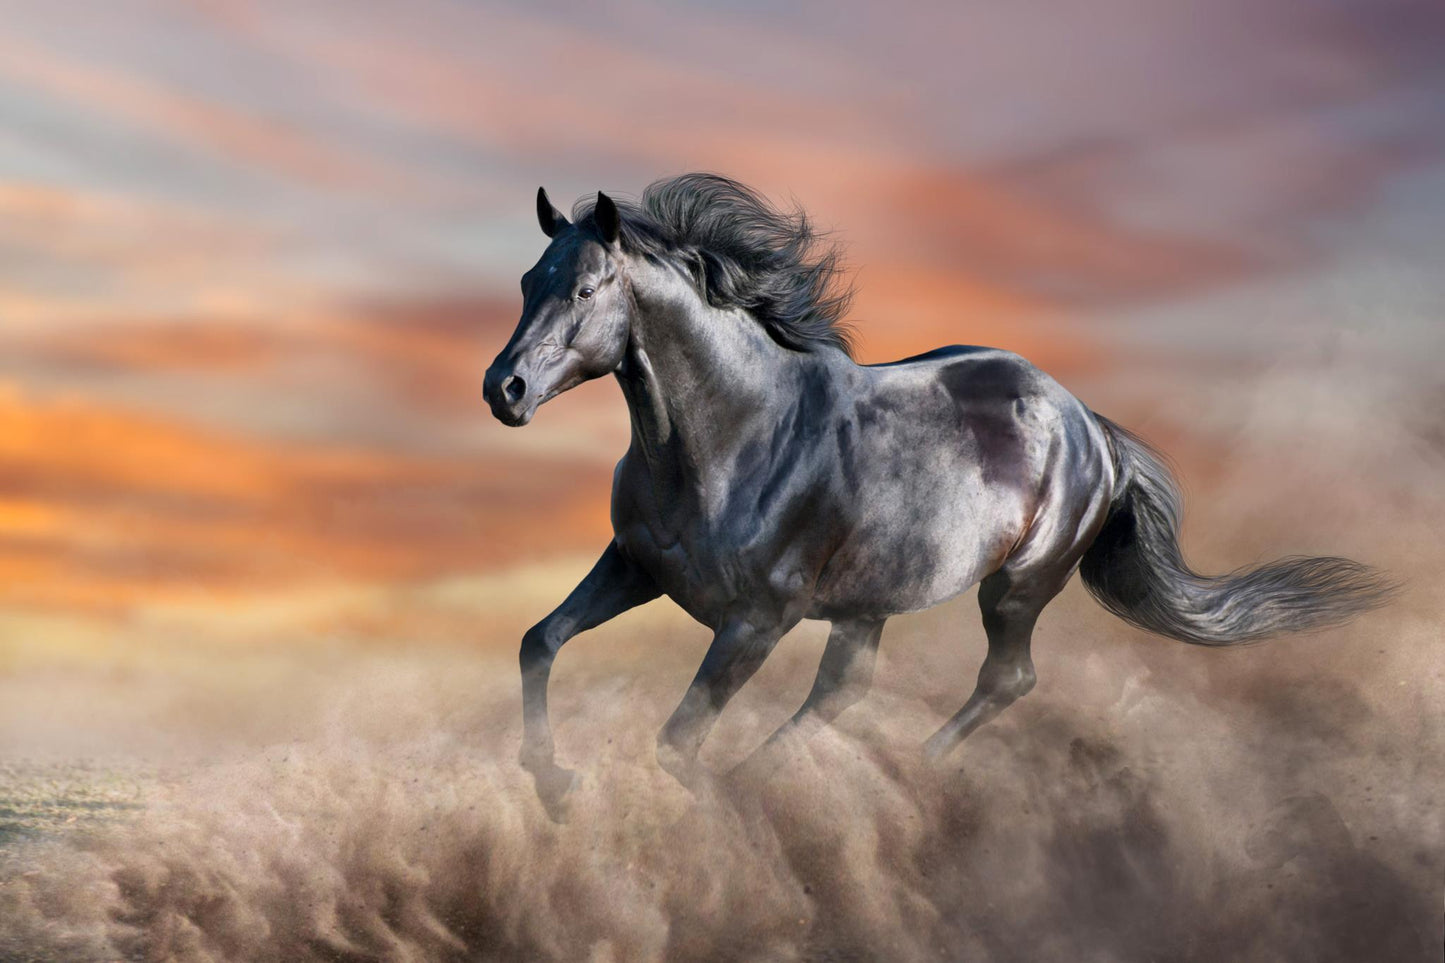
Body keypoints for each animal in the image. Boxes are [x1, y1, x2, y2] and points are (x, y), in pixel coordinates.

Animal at [483, 173, 1392, 811]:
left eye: (586, 288)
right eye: (527, 280)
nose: (505, 389)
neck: (733, 435)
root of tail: (1091, 425)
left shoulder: (756, 620)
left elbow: (674, 743)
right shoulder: (636, 565)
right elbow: (538, 641)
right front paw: (553, 784)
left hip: (1017, 585)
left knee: (1004, 680)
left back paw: (904, 775)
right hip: (870, 602)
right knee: (844, 690)